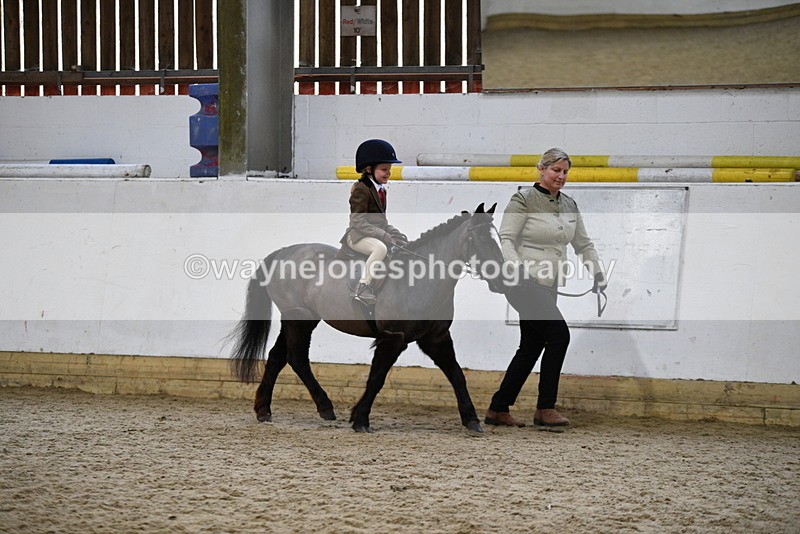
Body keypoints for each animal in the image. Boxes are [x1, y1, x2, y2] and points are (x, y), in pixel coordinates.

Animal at [229, 203, 508, 434]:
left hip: (298, 319)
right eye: (480, 238)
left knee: (278, 357)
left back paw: (264, 410)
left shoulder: (436, 338)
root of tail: (283, 252)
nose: (502, 280)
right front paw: (360, 419)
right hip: (299, 319)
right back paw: (324, 407)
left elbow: (457, 375)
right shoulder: (393, 338)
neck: (419, 280)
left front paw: (472, 420)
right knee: (296, 358)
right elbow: (376, 378)